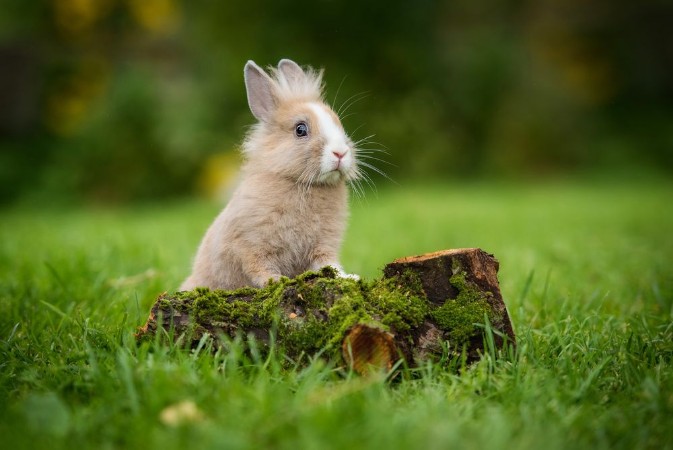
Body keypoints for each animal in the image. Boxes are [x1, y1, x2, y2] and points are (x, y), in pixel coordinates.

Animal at [180, 59, 363, 291]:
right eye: (300, 129)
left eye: (339, 123)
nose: (340, 152)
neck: (299, 183)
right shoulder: (250, 244)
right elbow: (258, 267)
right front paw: (276, 281)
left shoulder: (323, 245)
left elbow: (328, 265)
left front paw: (350, 277)